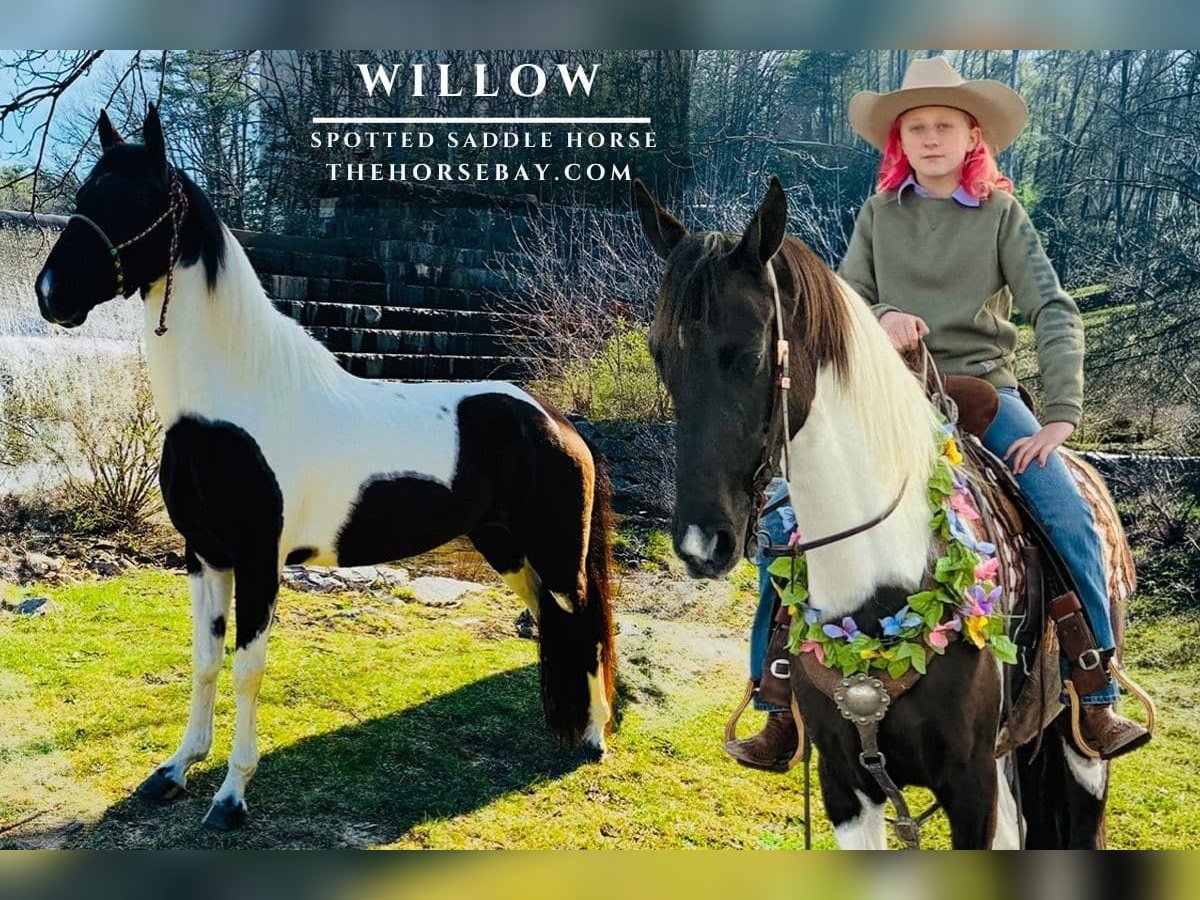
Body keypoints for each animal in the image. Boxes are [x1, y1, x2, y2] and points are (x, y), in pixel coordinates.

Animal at [34, 105, 616, 831]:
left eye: (139, 198)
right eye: (87, 194)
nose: (50, 294)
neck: (231, 403)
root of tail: (558, 422)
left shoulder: (258, 560)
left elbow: (247, 671)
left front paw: (230, 797)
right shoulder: (204, 556)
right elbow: (204, 663)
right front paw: (174, 770)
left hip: (556, 556)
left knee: (585, 624)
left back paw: (593, 738)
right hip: (506, 549)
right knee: (555, 624)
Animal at [633, 176, 1124, 849]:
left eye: (751, 352)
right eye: (660, 355)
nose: (700, 543)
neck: (881, 575)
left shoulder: (970, 786)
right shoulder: (846, 785)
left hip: (1078, 755)